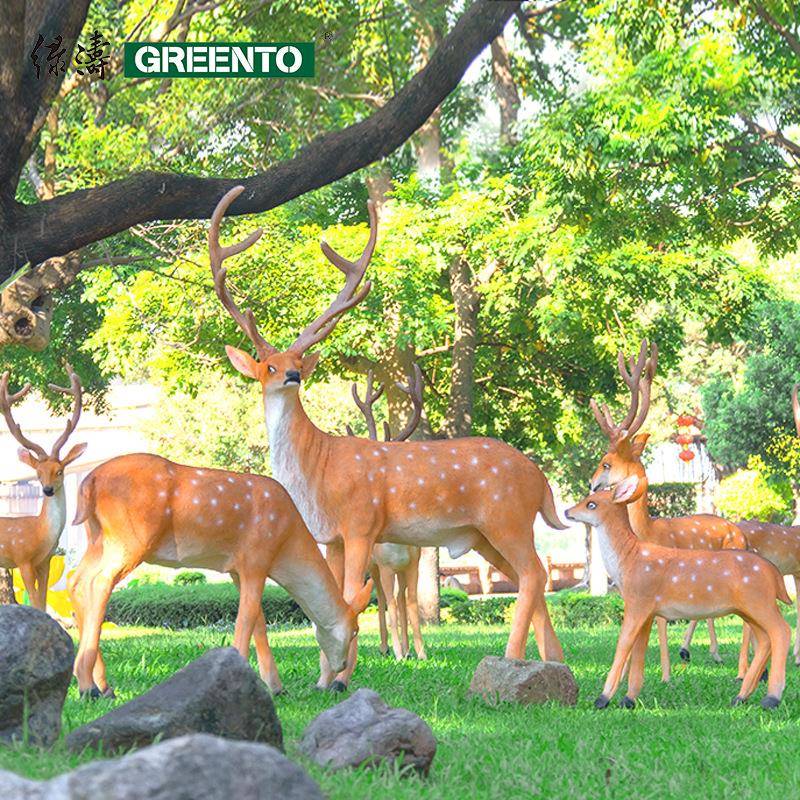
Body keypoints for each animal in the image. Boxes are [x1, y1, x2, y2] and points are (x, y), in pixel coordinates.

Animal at [0, 366, 87, 612]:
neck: (40, 533)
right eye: (38, 473)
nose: (47, 490)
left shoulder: (45, 561)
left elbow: (44, 602)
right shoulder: (23, 559)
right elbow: (35, 601)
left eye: (60, 471)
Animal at [68, 454, 373, 698]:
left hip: (96, 536)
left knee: (76, 581)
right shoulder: (256, 558)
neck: (286, 544)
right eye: (355, 630)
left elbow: (259, 624)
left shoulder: (237, 569)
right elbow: (246, 620)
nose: (342, 666)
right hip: (130, 538)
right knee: (100, 583)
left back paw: (101, 686)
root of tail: (88, 482)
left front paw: (276, 687)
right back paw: (87, 687)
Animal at [346, 364, 427, 661]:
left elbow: (411, 602)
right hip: (373, 565)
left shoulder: (413, 564)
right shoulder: (385, 565)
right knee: (381, 598)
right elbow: (391, 603)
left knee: (398, 598)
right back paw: (385, 646)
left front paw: (420, 652)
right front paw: (399, 652)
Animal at [565, 474, 791, 709]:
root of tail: (774, 574)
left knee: (782, 631)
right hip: (748, 609)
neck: (629, 560)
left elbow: (623, 643)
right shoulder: (648, 610)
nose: (567, 511)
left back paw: (771, 698)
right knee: (765, 639)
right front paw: (629, 699)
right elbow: (639, 649)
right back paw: (741, 697)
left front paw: (603, 698)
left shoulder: (638, 600)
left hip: (759, 601)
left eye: (591, 504)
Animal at [589, 341, 748, 681]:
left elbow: (660, 622)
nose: (592, 484)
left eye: (606, 463)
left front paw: (663, 675)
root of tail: (740, 533)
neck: (647, 530)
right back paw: (701, 651)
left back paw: (739, 669)